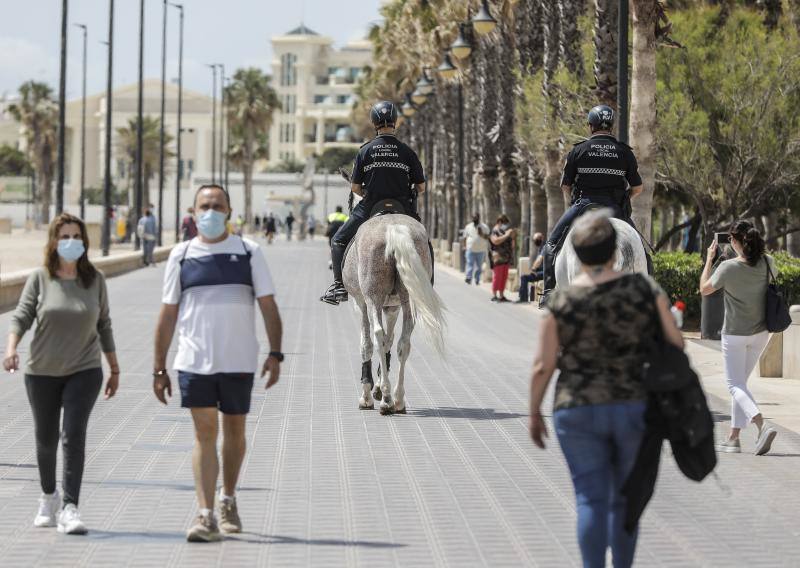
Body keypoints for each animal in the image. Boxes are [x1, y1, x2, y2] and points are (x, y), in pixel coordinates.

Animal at [342, 215, 446, 414]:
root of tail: (394, 228)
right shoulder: (393, 307)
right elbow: (388, 342)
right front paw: (377, 387)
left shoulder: (361, 304)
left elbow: (366, 344)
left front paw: (367, 395)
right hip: (409, 299)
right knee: (403, 343)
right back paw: (397, 399)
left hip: (373, 297)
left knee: (377, 335)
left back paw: (387, 399)